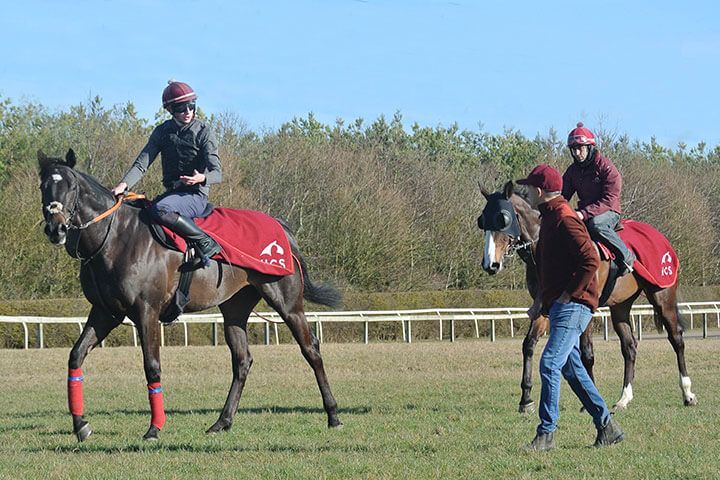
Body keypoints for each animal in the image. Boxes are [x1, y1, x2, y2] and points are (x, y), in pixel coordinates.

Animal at [38, 150, 344, 442]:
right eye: (43, 186)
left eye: (71, 186)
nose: (56, 228)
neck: (117, 237)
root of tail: (282, 228)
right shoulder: (105, 312)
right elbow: (76, 356)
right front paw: (81, 425)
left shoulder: (146, 312)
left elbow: (152, 367)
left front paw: (154, 428)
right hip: (234, 308)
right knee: (242, 360)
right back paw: (222, 422)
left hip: (287, 302)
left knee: (311, 349)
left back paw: (333, 415)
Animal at [478, 182, 696, 414]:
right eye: (482, 220)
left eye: (503, 219)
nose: (490, 264)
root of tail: (662, 238)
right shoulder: (543, 306)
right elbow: (529, 344)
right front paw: (526, 399)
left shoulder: (585, 306)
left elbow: (587, 353)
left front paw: (588, 401)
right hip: (620, 306)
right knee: (629, 346)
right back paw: (624, 398)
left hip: (662, 297)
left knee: (676, 339)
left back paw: (687, 393)